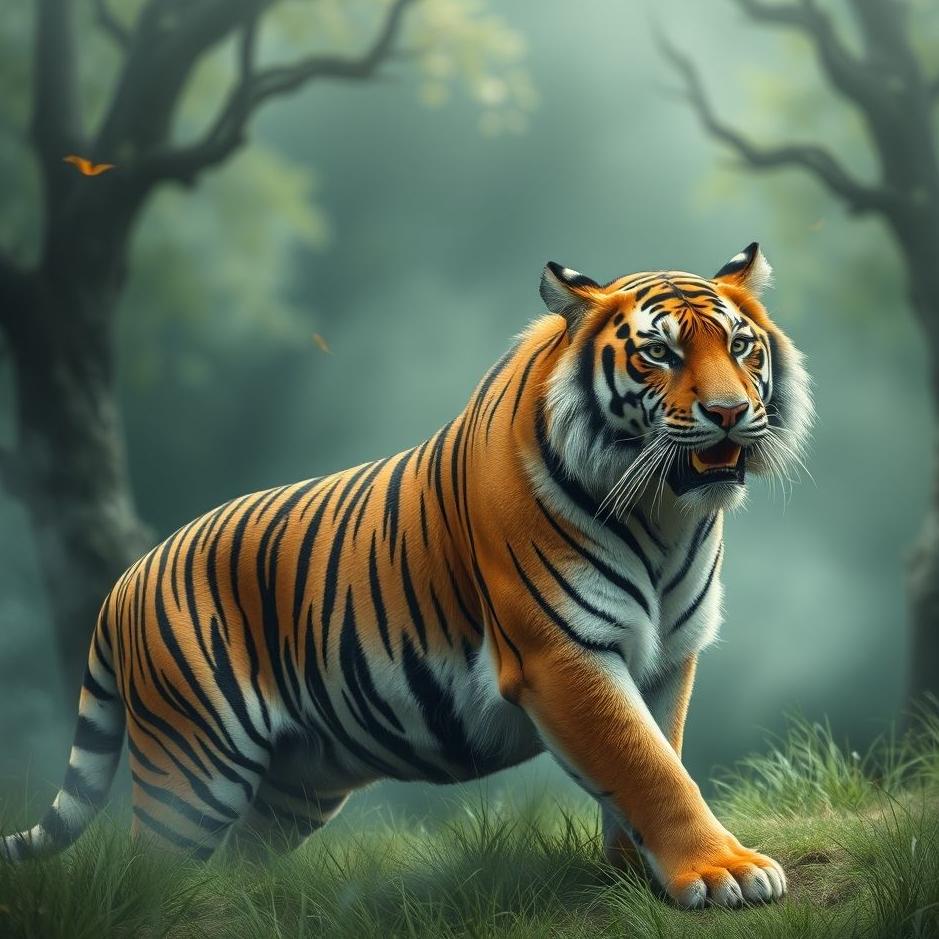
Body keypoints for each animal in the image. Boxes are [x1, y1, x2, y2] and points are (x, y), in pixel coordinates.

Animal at [2, 242, 812, 909]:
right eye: (659, 354)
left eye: (740, 346)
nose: (729, 412)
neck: (665, 517)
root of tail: (125, 580)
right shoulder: (562, 653)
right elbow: (648, 764)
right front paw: (721, 871)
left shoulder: (669, 653)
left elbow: (655, 750)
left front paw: (637, 871)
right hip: (191, 767)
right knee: (154, 868)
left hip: (297, 781)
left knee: (240, 859)